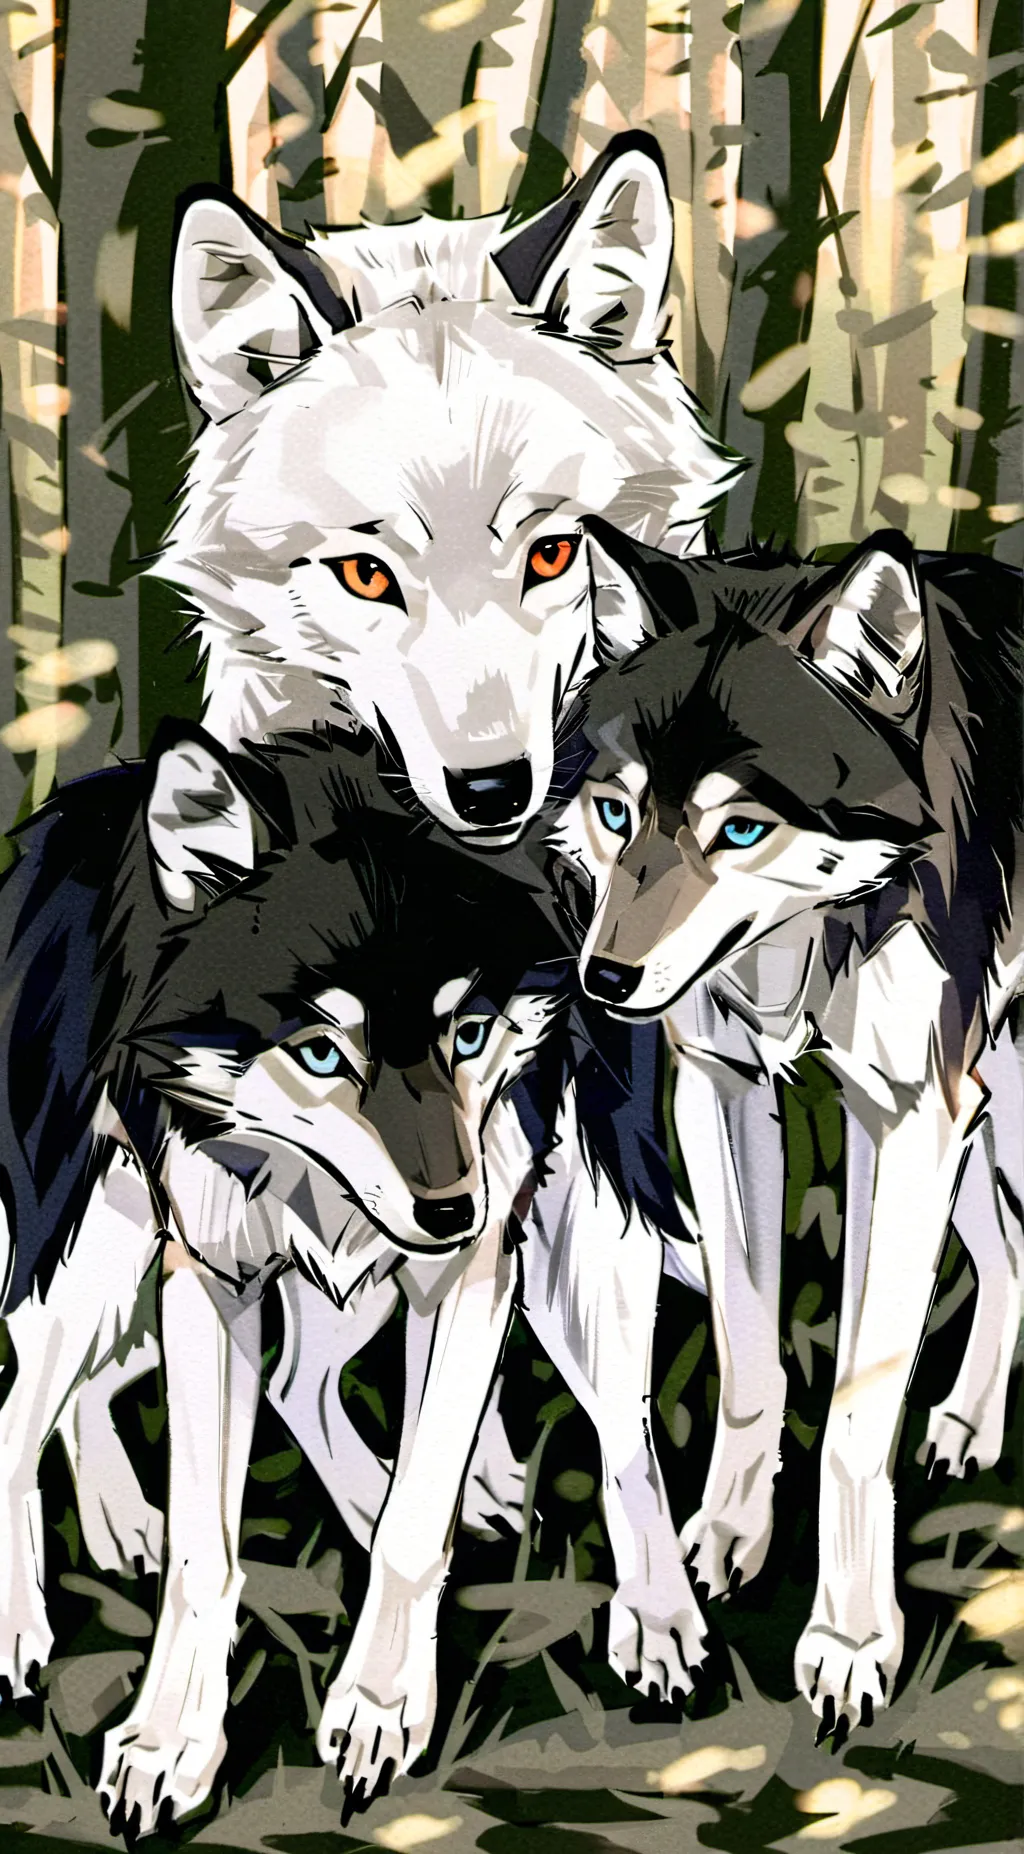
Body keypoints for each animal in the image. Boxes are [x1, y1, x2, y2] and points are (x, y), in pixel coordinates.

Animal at [0, 722, 707, 1833]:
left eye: (469, 1033)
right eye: (323, 1053)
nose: (450, 1211)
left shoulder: (476, 1267)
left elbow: (418, 1522)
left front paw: (377, 1706)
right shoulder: (209, 1277)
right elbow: (205, 1551)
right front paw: (169, 1744)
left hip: (577, 1237)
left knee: (606, 1423)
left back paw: (645, 1606)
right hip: (83, 1250)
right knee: (25, 1410)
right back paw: (33, 1610)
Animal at [546, 522, 1023, 1736]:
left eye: (743, 827)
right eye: (618, 813)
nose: (604, 982)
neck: (804, 941)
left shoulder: (909, 1115)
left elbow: (854, 1416)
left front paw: (850, 1643)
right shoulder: (720, 1091)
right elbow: (750, 1354)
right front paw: (725, 1541)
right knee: (1006, 1249)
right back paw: (967, 1424)